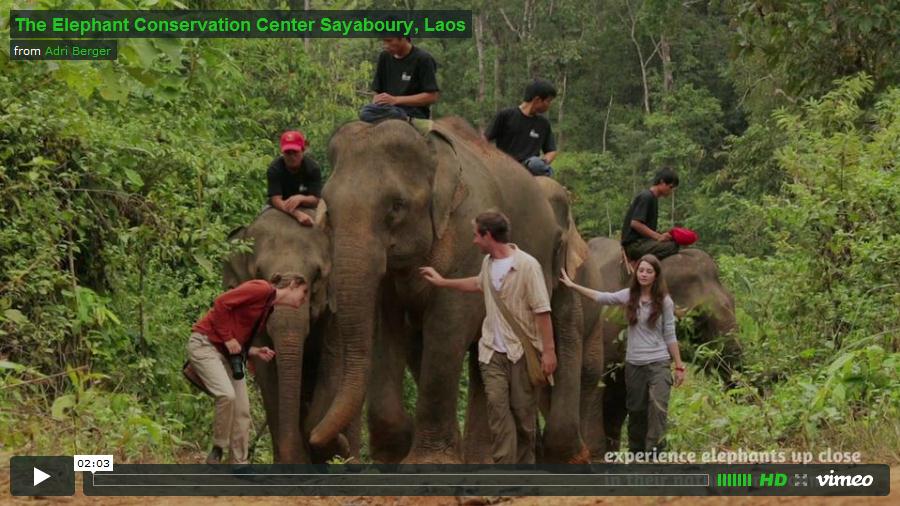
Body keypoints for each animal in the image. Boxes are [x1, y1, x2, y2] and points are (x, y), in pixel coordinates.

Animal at [310, 117, 589, 464]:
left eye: (396, 206)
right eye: (329, 211)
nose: (318, 439)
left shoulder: (470, 241)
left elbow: (446, 328)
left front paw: (426, 463)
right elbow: (384, 326)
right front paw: (393, 455)